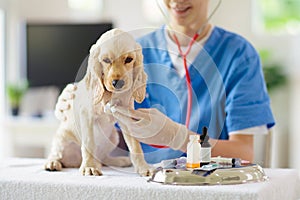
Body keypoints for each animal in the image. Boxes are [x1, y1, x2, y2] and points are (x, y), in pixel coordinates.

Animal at [44, 28, 152, 177]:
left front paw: (143, 167)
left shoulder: (126, 117)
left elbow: (135, 146)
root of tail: (75, 161)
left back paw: (119, 161)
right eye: (106, 60)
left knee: (103, 159)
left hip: (113, 137)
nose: (117, 83)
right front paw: (89, 167)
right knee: (56, 153)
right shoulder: (86, 114)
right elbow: (89, 143)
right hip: (62, 137)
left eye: (129, 59)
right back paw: (53, 163)